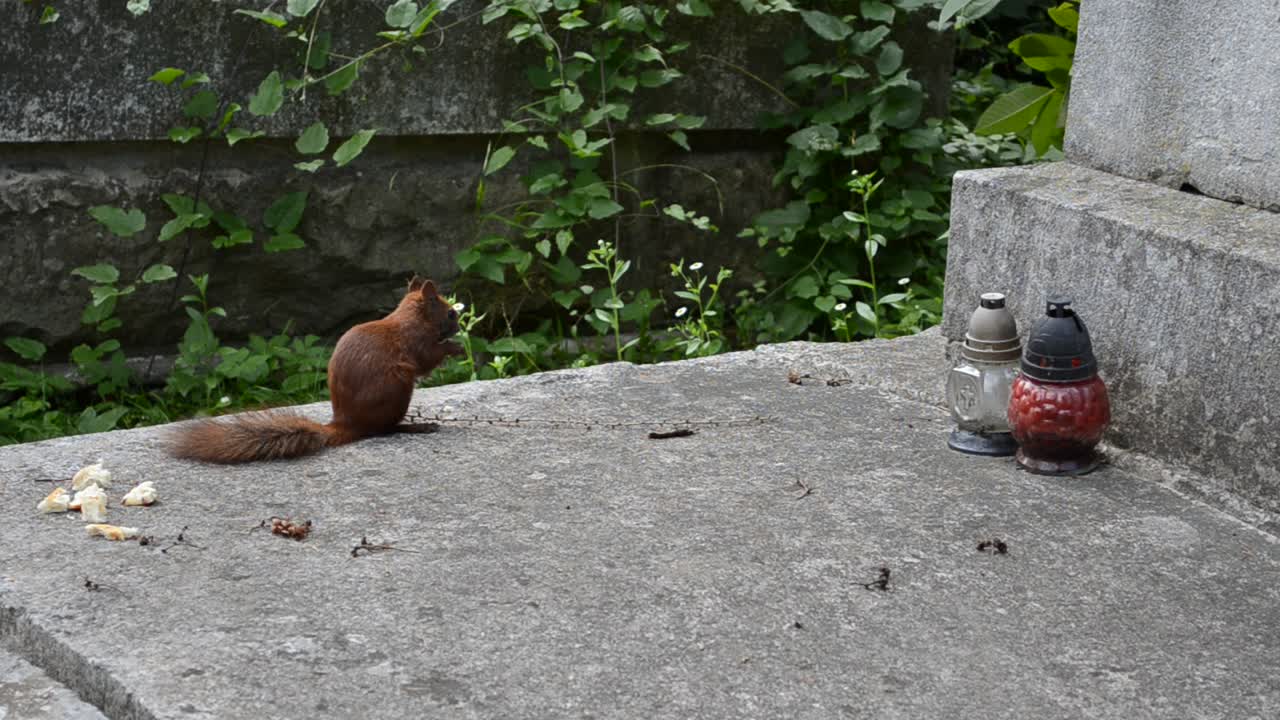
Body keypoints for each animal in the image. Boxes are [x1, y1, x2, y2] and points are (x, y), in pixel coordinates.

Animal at [168, 276, 463, 463]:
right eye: (450, 313)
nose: (459, 325)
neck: (411, 319)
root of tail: (345, 424)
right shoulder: (416, 343)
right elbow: (428, 359)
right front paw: (456, 348)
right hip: (398, 388)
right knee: (383, 430)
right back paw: (418, 426)